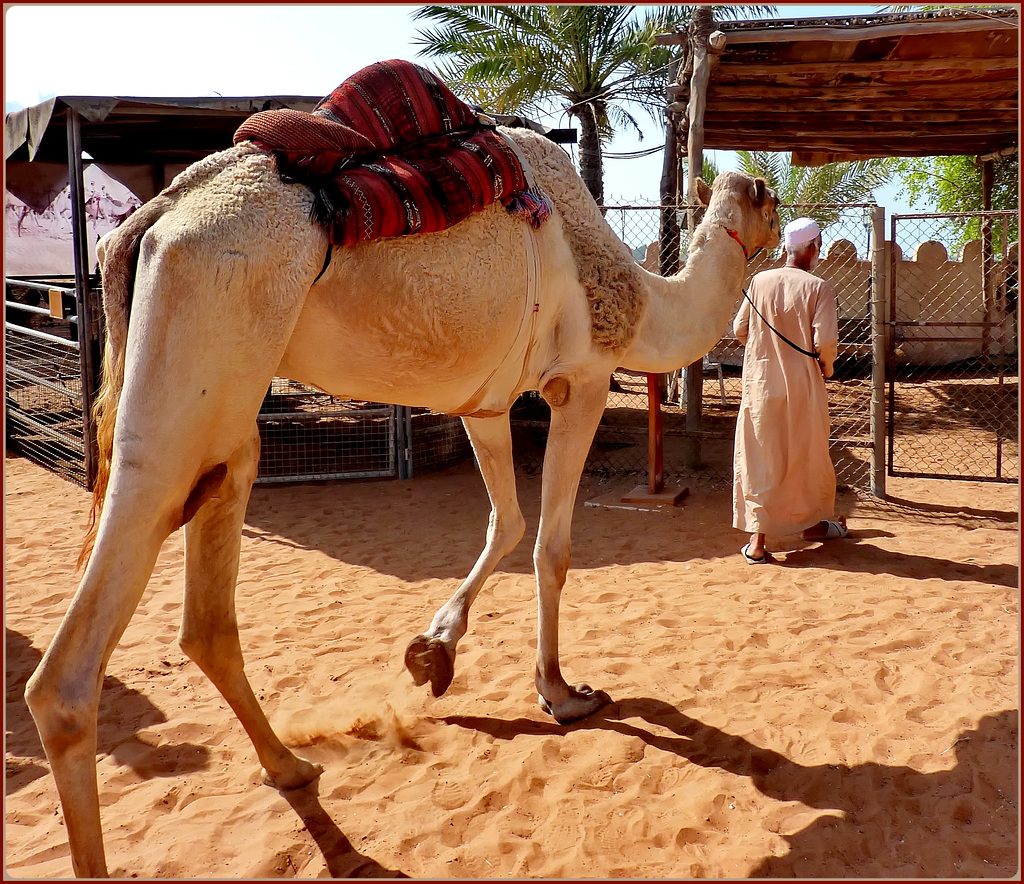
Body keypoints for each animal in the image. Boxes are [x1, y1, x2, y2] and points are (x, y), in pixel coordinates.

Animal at [22, 124, 774, 876]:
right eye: (766, 193)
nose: (795, 233)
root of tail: (149, 220)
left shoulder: (484, 401)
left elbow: (506, 521)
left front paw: (434, 651)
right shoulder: (580, 381)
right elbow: (550, 548)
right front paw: (562, 693)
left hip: (226, 422)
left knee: (207, 617)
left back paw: (291, 766)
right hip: (194, 371)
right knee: (69, 674)